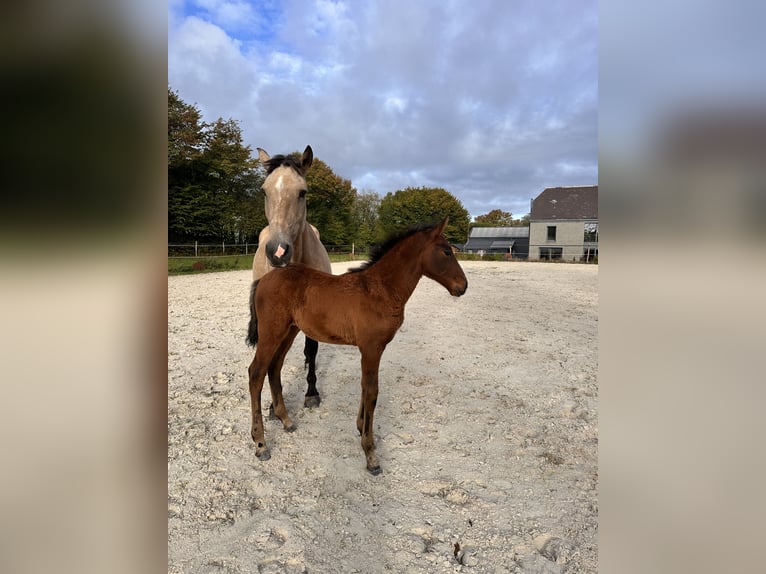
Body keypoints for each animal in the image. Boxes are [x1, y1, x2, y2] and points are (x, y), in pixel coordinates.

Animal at [246, 217, 468, 475]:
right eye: (446, 252)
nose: (463, 286)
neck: (380, 290)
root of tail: (263, 279)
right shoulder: (371, 347)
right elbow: (372, 391)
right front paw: (370, 453)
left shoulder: (371, 349)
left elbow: (365, 387)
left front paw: (361, 429)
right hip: (272, 332)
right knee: (256, 372)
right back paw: (261, 444)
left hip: (289, 331)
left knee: (274, 368)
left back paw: (286, 420)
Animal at [252, 145, 332, 409]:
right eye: (264, 191)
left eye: (302, 193)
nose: (277, 251)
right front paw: (273, 405)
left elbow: (311, 349)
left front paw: (311, 393)